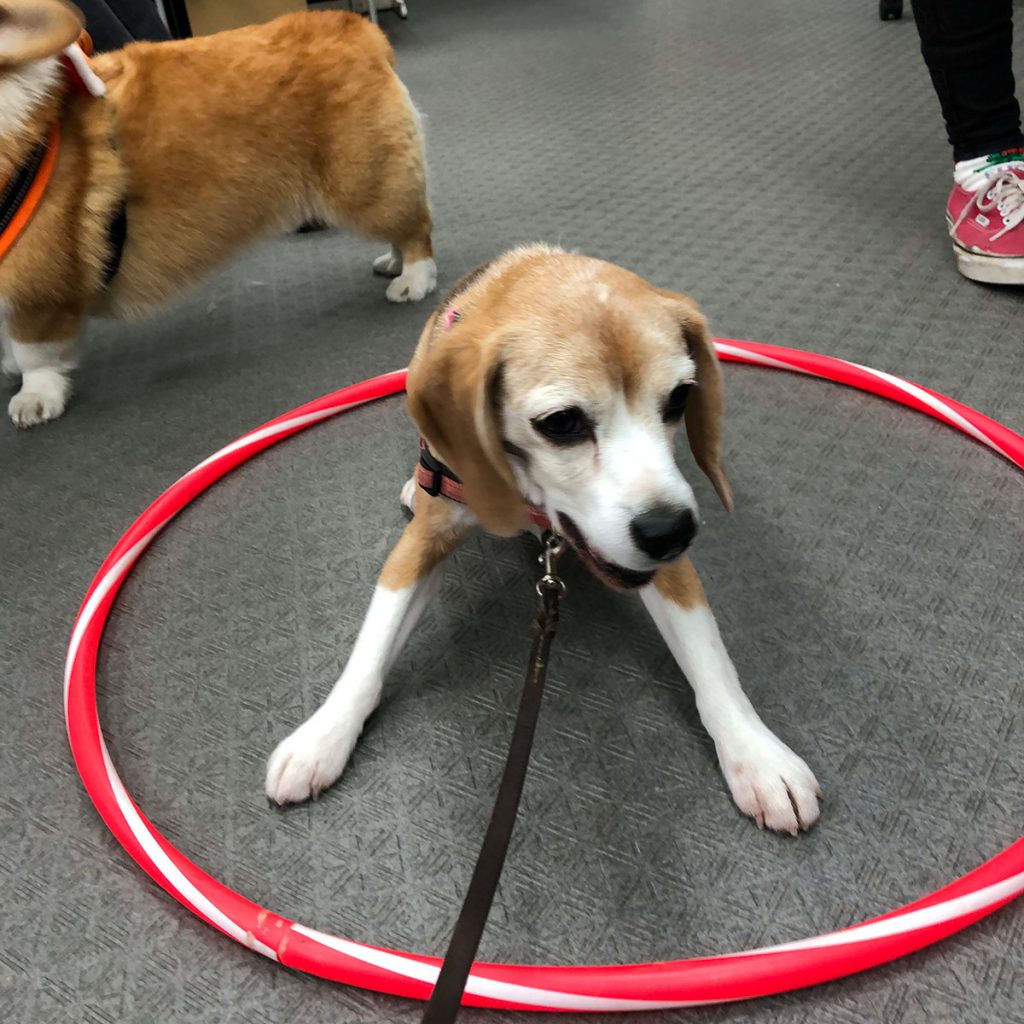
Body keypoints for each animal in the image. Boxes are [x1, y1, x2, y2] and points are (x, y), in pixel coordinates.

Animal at [266, 243, 823, 835]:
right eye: (561, 423)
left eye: (679, 399)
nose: (673, 532)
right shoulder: (421, 544)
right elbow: (370, 649)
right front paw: (322, 735)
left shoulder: (662, 550)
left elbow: (712, 660)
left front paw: (756, 753)